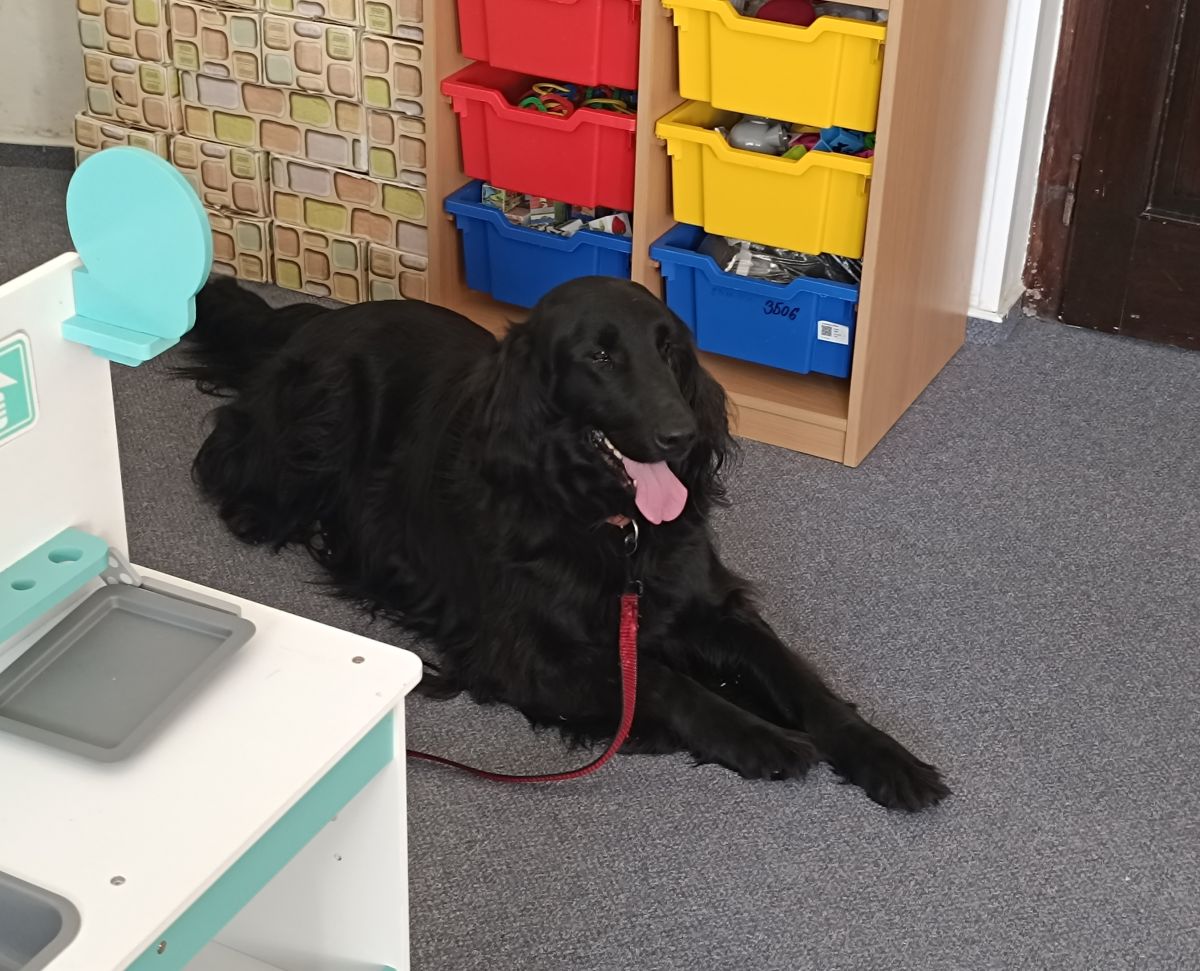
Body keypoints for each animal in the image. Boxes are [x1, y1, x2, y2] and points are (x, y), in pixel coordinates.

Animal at [181, 276, 948, 810]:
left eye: (668, 348)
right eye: (600, 355)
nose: (681, 435)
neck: (610, 522)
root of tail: (319, 316)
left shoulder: (708, 605)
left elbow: (799, 678)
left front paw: (886, 756)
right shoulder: (528, 656)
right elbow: (664, 680)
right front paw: (762, 737)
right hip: (322, 419)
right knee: (230, 460)